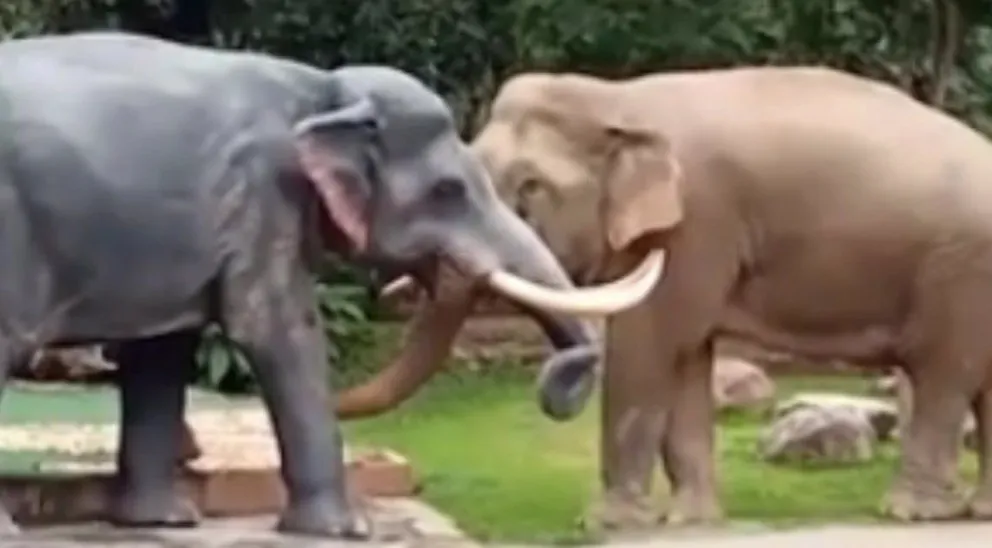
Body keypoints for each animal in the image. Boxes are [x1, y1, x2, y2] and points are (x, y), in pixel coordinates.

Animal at [0, 31, 658, 538]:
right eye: (448, 191)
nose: (556, 391)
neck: (326, 91)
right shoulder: (264, 196)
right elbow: (276, 329)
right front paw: (346, 531)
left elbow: (163, 350)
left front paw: (164, 522)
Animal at [338, 66, 992, 528]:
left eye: (530, 188)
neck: (618, 99)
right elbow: (687, 359)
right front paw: (690, 521)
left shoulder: (696, 222)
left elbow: (647, 348)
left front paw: (609, 524)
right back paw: (975, 512)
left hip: (959, 272)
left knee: (942, 375)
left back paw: (912, 512)